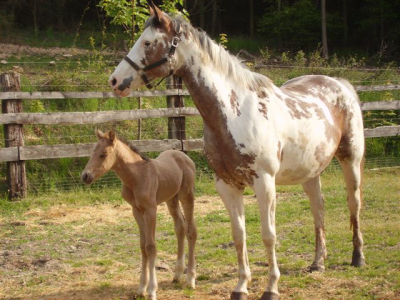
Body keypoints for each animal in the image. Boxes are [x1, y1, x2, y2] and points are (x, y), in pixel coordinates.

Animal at [81, 129, 198, 300]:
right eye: (92, 152)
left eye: (103, 154)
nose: (85, 176)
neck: (136, 177)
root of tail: (185, 156)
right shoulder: (136, 210)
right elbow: (143, 246)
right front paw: (141, 288)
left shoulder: (150, 210)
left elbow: (151, 246)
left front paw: (152, 290)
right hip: (171, 200)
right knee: (180, 227)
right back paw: (177, 275)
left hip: (186, 196)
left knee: (191, 231)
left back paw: (190, 279)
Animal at [108, 3, 366, 298]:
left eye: (148, 42)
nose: (115, 80)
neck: (235, 112)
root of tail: (341, 84)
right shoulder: (228, 186)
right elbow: (239, 235)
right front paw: (242, 285)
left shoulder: (265, 183)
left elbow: (268, 235)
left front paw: (271, 287)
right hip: (310, 172)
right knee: (318, 210)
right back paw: (317, 263)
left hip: (350, 160)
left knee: (354, 203)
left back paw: (358, 258)